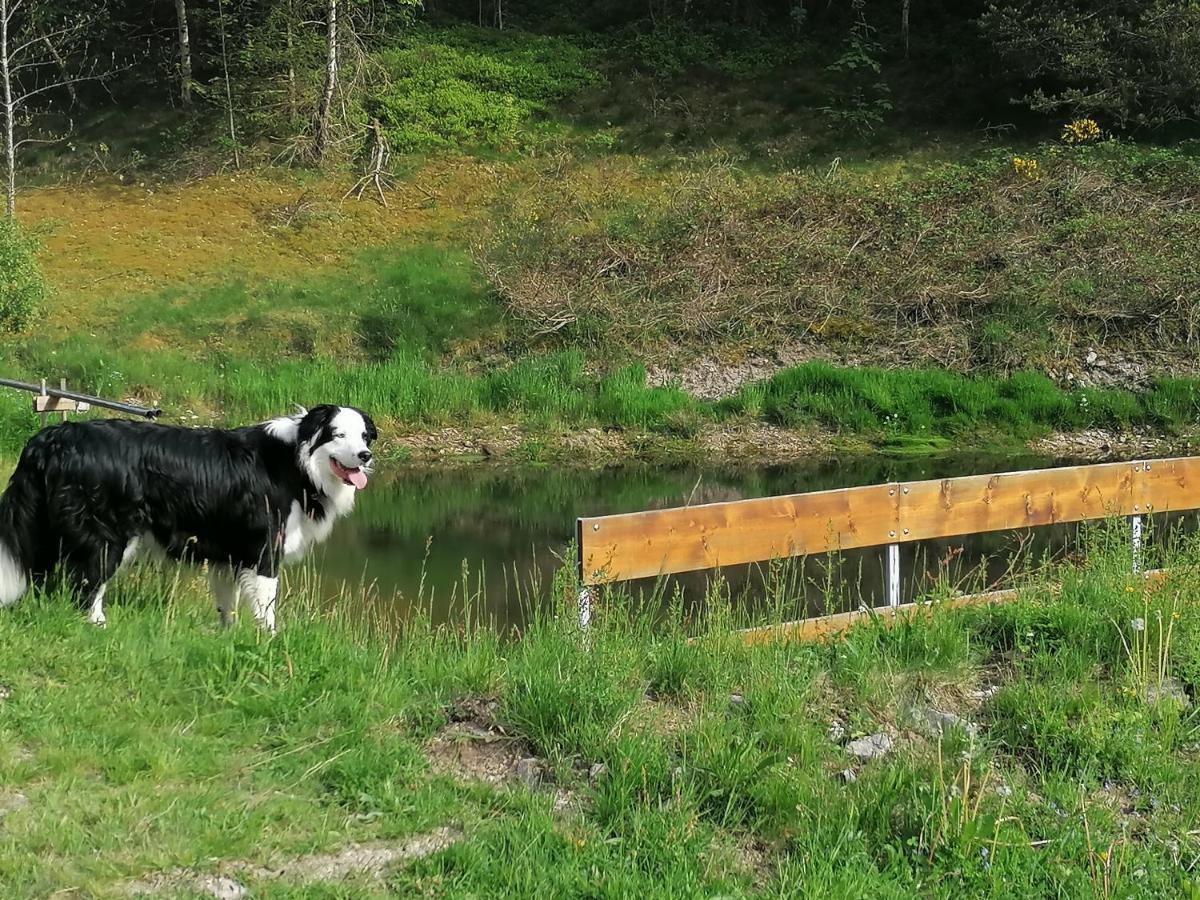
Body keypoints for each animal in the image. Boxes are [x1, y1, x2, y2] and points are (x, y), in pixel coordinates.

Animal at [0, 405, 376, 628]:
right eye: (338, 435)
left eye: (364, 436)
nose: (365, 455)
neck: (299, 463)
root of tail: (53, 437)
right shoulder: (264, 551)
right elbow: (266, 607)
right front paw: (270, 643)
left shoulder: (229, 555)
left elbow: (227, 605)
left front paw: (228, 636)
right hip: (106, 537)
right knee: (87, 586)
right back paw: (99, 624)